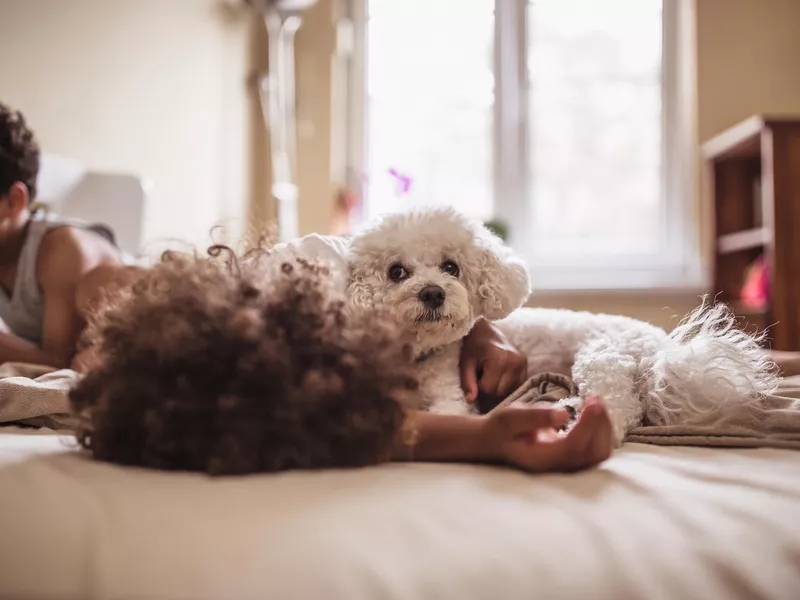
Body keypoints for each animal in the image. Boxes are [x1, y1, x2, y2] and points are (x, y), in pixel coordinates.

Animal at [346, 206, 780, 446]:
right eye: (396, 272)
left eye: (451, 267)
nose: (433, 293)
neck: (416, 358)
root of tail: (663, 350)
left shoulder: (450, 397)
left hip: (601, 357)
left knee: (620, 409)